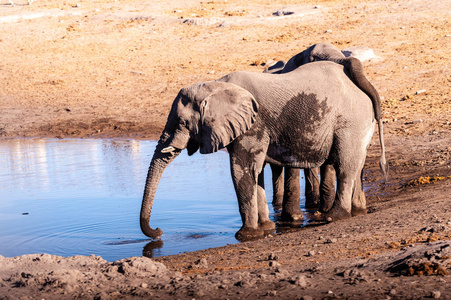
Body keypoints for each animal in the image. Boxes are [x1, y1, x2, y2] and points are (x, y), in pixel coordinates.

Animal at [139, 59, 386, 240]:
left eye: (182, 123)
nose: (158, 232)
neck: (216, 85)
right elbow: (255, 173)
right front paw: (266, 228)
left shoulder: (254, 125)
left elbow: (241, 170)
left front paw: (245, 235)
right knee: (357, 165)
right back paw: (358, 211)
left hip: (350, 120)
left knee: (345, 165)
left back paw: (335, 217)